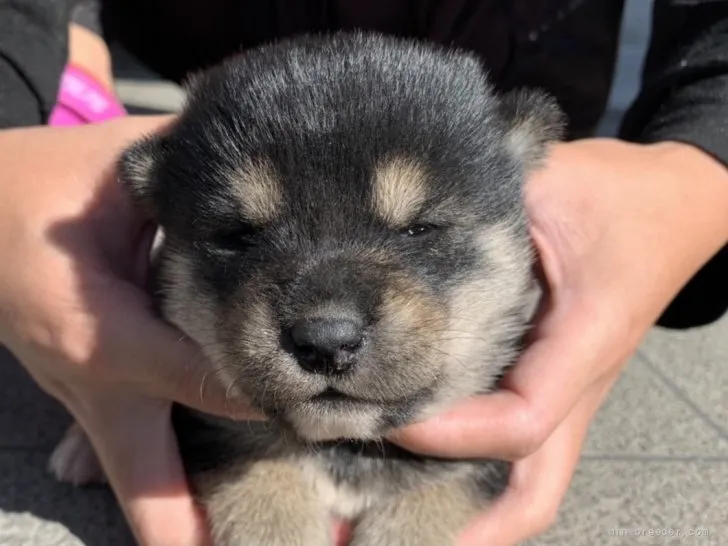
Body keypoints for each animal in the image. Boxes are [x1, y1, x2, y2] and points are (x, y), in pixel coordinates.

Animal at [51, 30, 564, 544]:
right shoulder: (221, 433)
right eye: (237, 235)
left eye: (420, 228)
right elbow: (262, 491)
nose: (326, 342)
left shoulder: (472, 460)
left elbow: (426, 505)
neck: (342, 444)